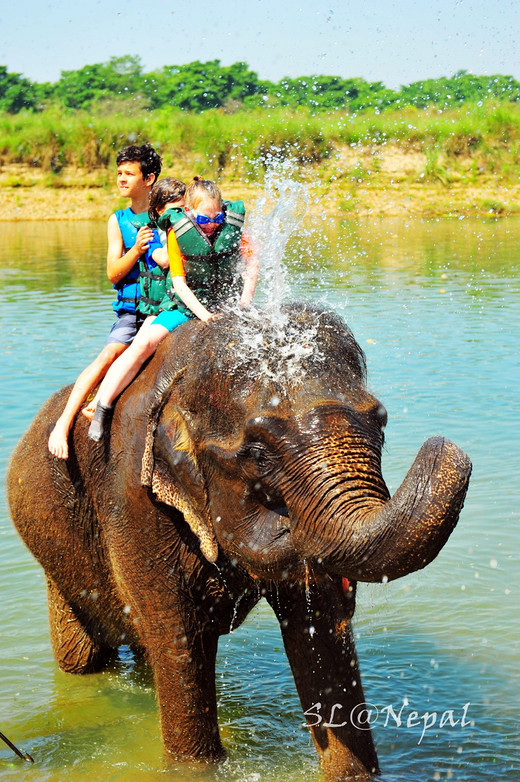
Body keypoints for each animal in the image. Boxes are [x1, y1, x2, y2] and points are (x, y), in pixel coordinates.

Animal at [7, 304, 472, 780]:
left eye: (381, 422)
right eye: (258, 454)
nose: (443, 441)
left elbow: (319, 632)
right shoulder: (132, 500)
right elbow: (178, 640)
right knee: (86, 657)